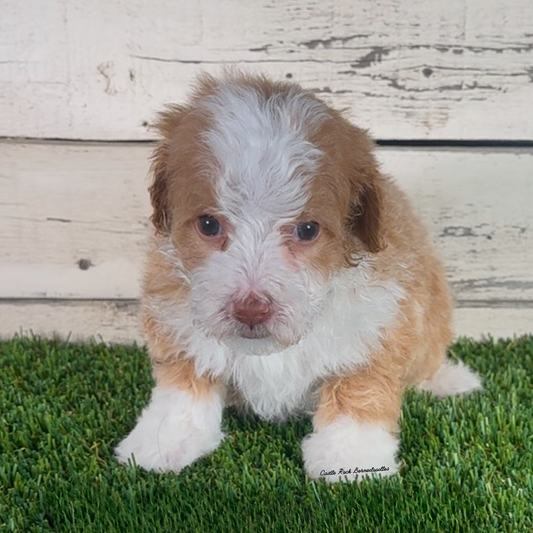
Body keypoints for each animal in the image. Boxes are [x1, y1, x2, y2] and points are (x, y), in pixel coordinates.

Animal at [114, 71, 480, 482]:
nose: (251, 309)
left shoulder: (377, 321)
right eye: (208, 224)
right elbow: (183, 385)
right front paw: (165, 440)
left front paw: (350, 458)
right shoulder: (177, 321)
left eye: (307, 230)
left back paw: (449, 380)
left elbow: (360, 387)